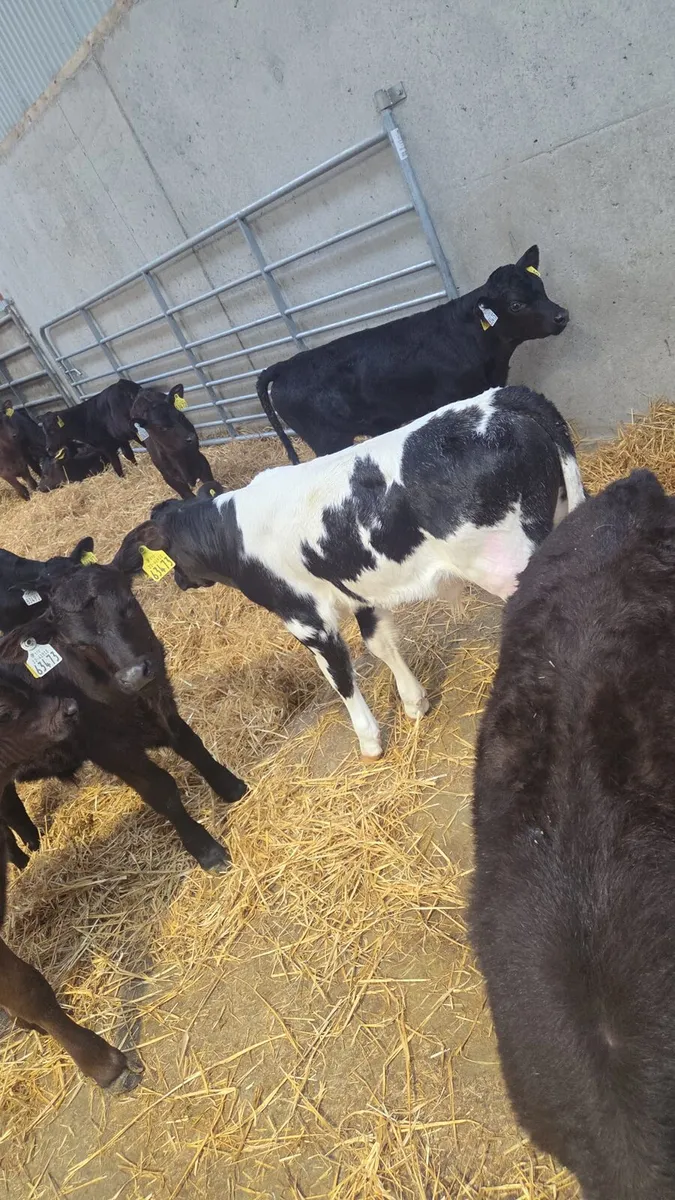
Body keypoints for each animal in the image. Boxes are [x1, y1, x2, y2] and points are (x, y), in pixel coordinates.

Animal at [0, 561, 247, 871]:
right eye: (77, 643)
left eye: (128, 604)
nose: (135, 675)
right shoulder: (108, 748)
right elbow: (160, 790)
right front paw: (206, 850)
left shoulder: (163, 702)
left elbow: (193, 746)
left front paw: (231, 787)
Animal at [113, 385, 584, 760]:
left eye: (168, 551)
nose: (178, 580)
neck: (234, 533)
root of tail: (502, 398)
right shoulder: (358, 589)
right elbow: (380, 644)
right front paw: (414, 703)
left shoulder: (306, 617)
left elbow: (339, 677)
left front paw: (370, 741)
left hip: (509, 561)